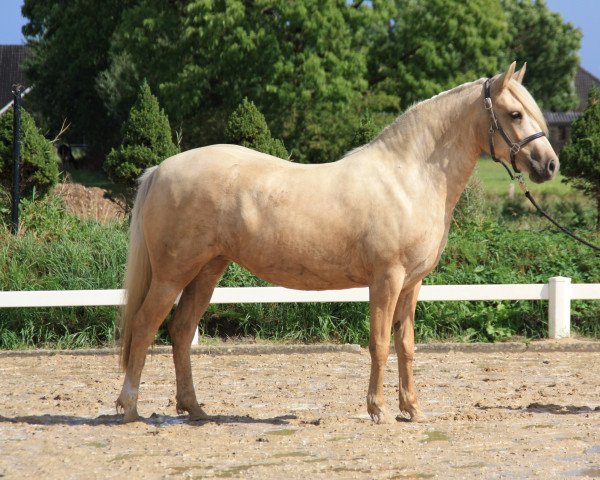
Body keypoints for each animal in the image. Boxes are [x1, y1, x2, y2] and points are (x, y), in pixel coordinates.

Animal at [116, 62, 556, 424]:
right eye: (515, 114)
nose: (549, 165)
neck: (408, 177)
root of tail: (161, 169)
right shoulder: (386, 279)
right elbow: (379, 342)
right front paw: (378, 410)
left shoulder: (412, 285)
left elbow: (406, 345)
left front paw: (412, 409)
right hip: (172, 274)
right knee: (145, 326)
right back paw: (130, 407)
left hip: (207, 271)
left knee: (180, 330)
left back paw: (194, 409)